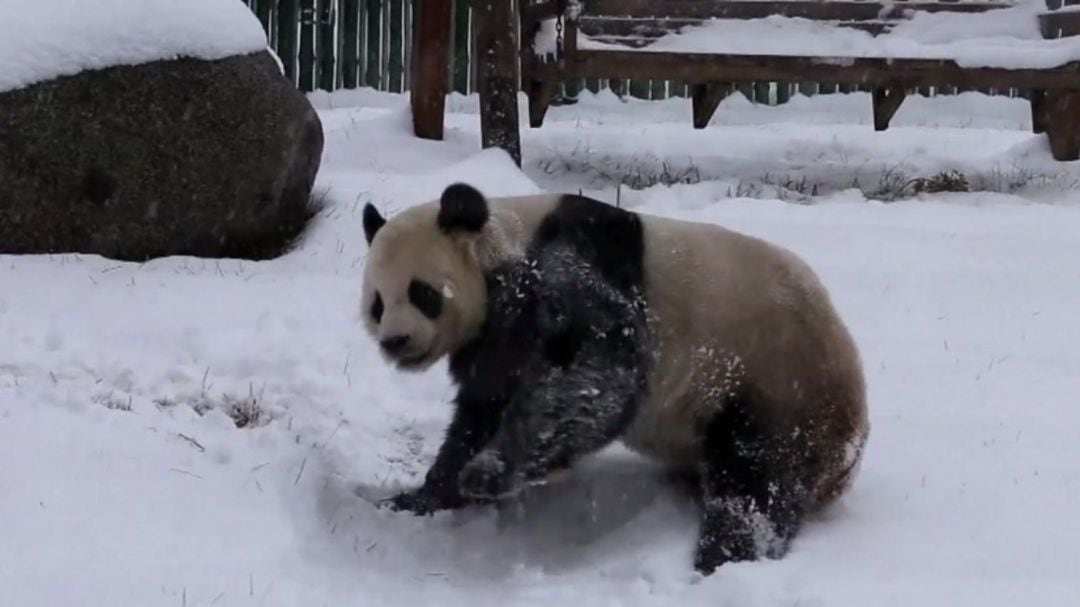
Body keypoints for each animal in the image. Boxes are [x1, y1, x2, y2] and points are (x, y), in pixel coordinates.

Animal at [360, 181, 868, 570]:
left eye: (422, 293)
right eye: (377, 303)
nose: (395, 341)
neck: (500, 244)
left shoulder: (567, 267)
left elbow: (602, 370)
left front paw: (489, 471)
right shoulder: (496, 337)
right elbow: (484, 406)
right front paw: (421, 497)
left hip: (776, 379)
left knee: (756, 480)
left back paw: (724, 554)